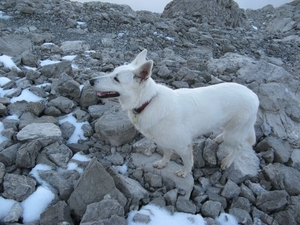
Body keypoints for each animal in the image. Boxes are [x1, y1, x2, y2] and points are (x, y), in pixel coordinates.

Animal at [89, 49, 260, 178]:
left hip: (235, 133)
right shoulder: (163, 141)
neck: (148, 101)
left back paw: (227, 161)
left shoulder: (183, 146)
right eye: (112, 72)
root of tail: (254, 96)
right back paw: (219, 138)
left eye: (116, 79)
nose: (90, 80)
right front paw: (163, 163)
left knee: (239, 147)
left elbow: (187, 161)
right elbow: (167, 153)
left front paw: (185, 173)